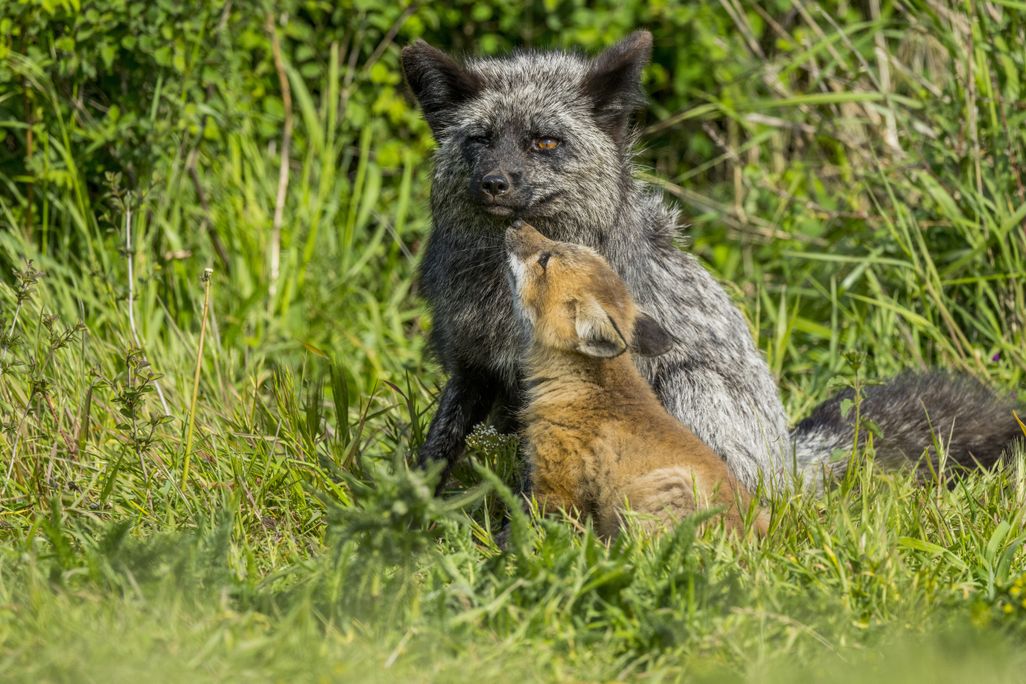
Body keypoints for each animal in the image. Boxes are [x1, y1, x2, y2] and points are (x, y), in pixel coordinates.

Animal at [400, 31, 1023, 491]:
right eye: (480, 140)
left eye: (545, 143)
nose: (494, 183)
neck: (501, 292)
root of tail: (786, 462)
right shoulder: (471, 367)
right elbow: (436, 451)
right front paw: (407, 529)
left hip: (688, 388)